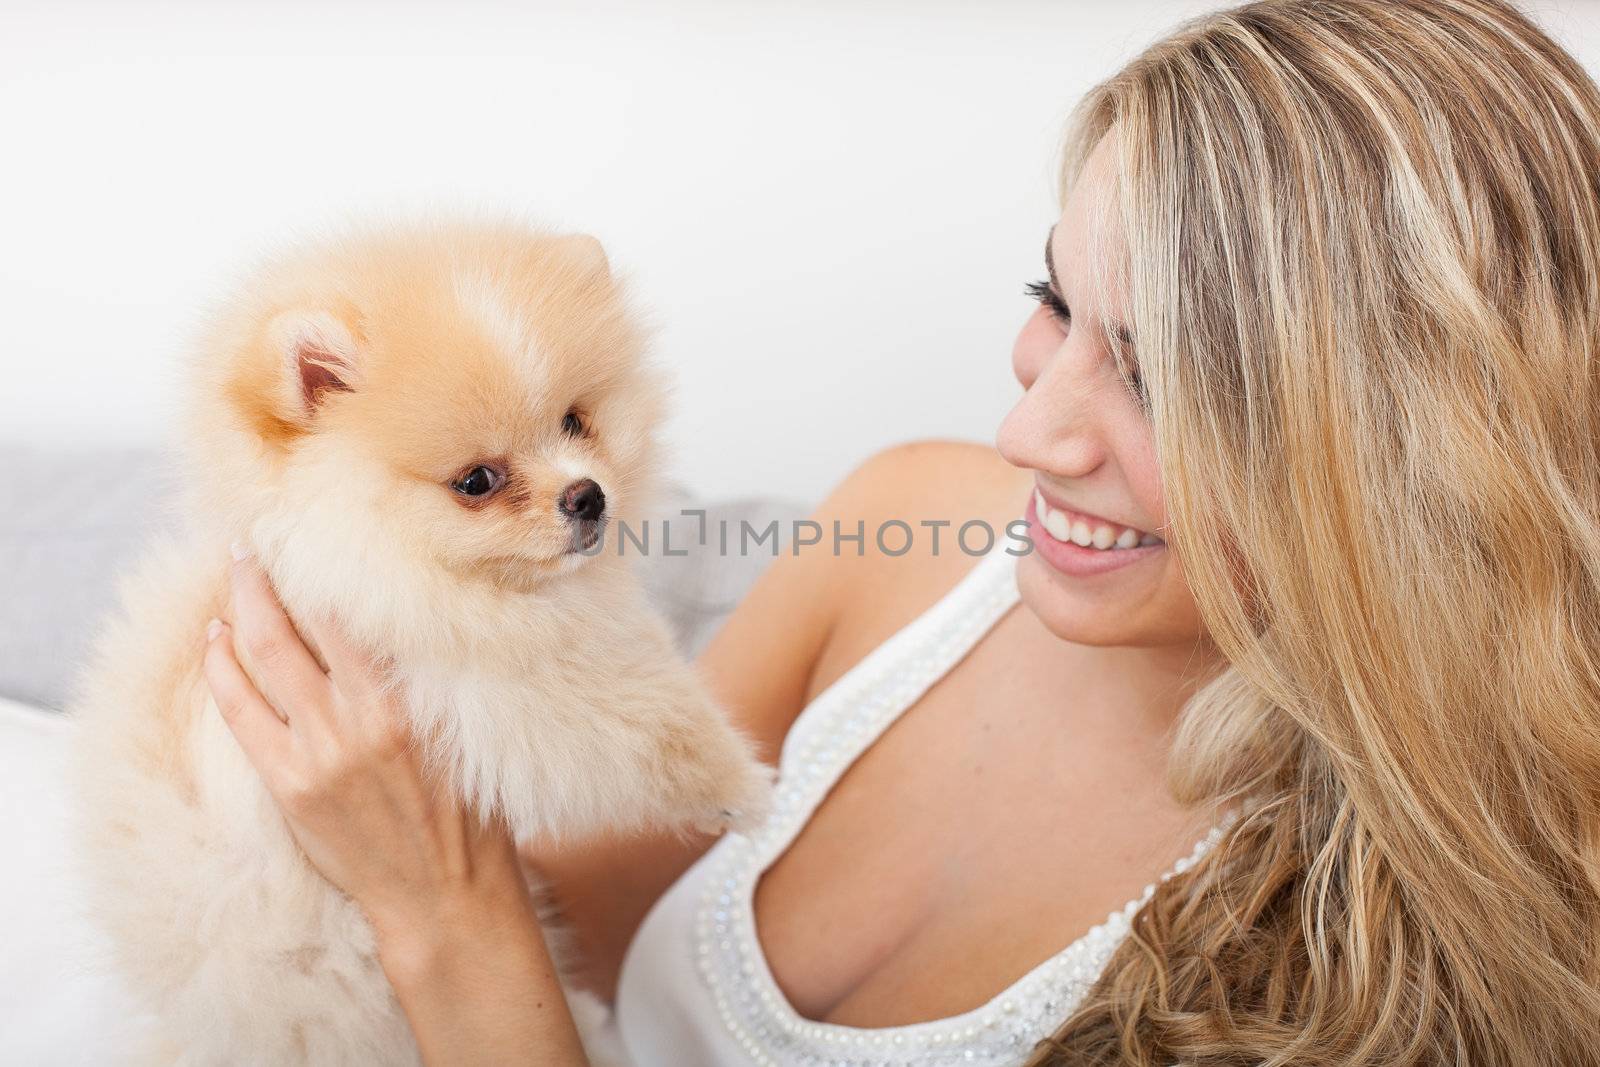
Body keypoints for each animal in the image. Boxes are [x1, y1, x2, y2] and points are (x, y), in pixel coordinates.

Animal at [67, 212, 774, 1062]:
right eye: (476, 481)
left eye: (576, 420)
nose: (588, 495)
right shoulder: (491, 685)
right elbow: (648, 720)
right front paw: (742, 788)